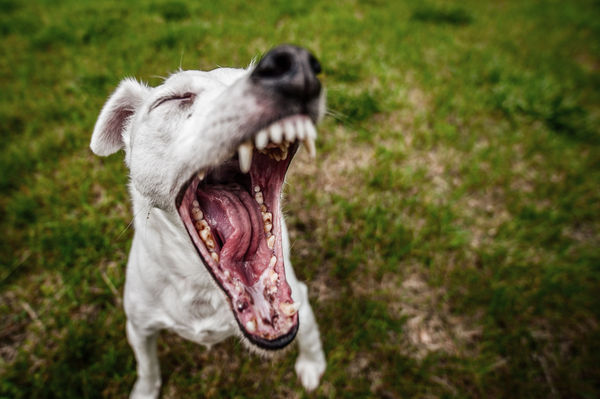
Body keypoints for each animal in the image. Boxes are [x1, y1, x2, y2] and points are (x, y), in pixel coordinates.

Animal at [89, 45, 326, 398]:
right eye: (173, 100)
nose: (294, 63)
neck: (201, 284)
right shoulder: (139, 327)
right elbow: (147, 368)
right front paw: (145, 390)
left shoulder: (301, 302)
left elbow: (309, 335)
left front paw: (312, 365)